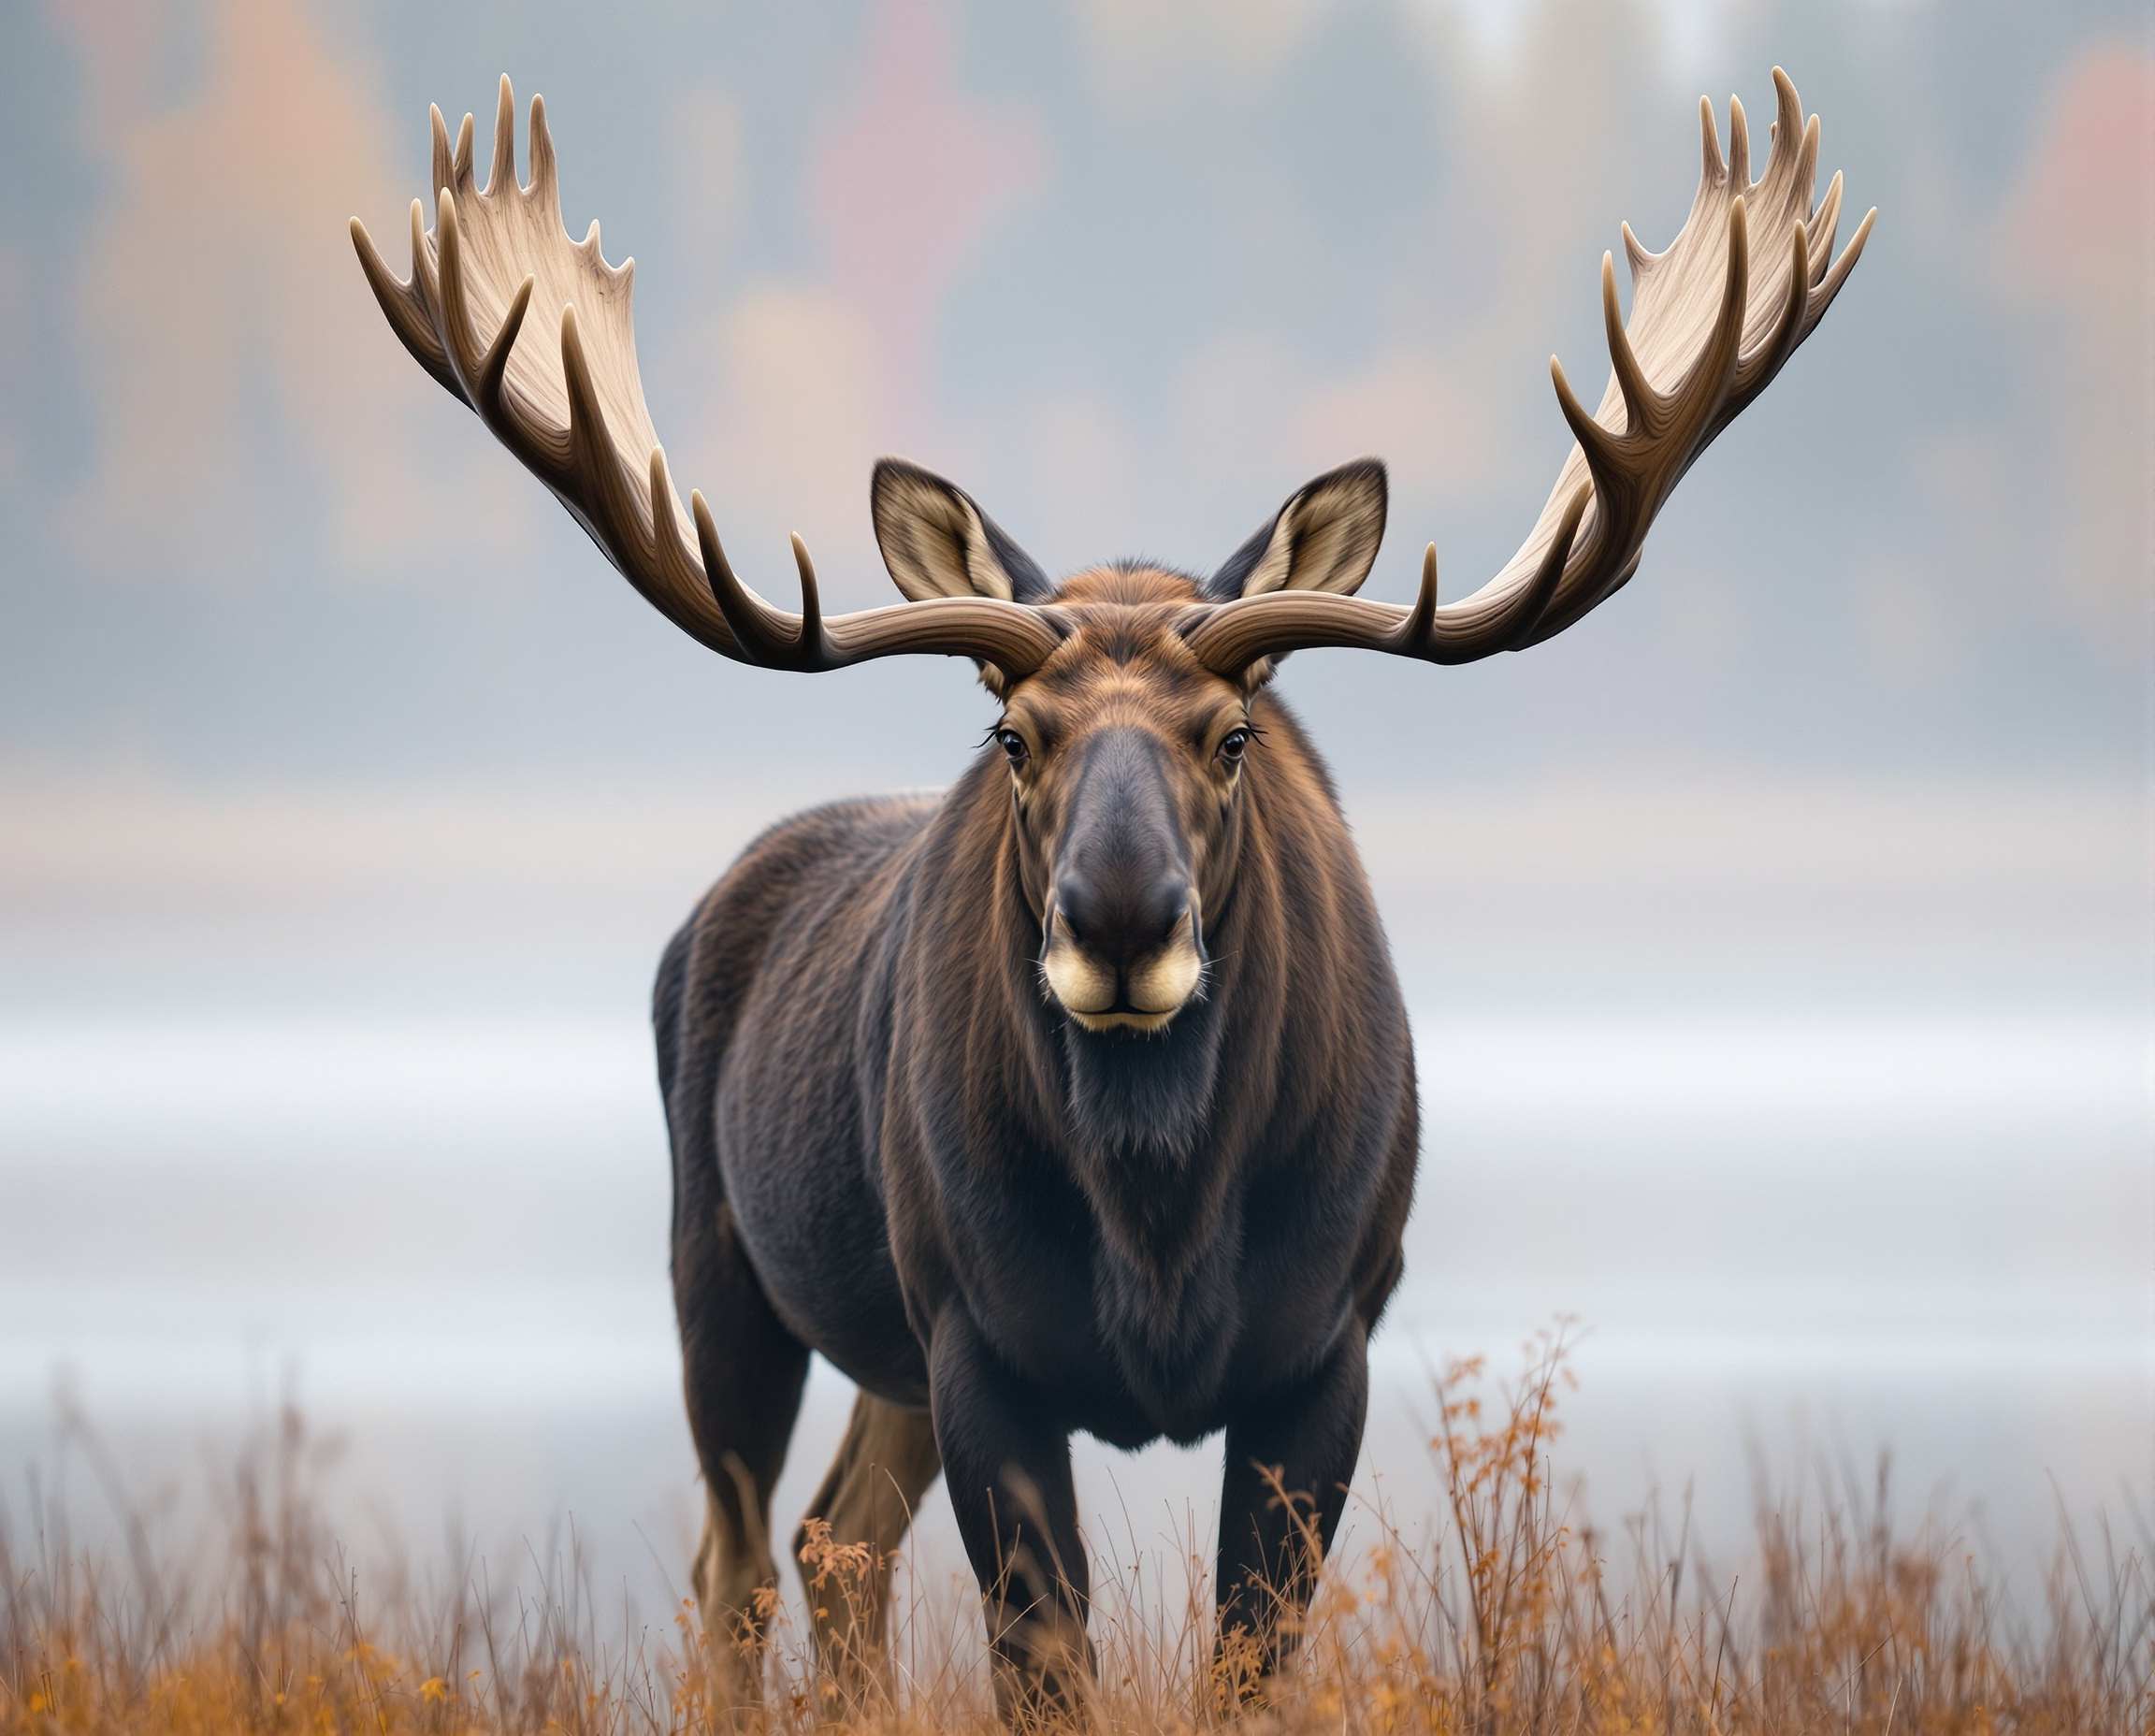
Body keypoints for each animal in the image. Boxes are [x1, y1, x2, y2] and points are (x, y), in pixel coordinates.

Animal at [353, 67, 1870, 1721]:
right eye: (1015, 734)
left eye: (1235, 733)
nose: (1123, 925)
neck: (1162, 1228)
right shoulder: (978, 1348)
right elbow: (1046, 1668)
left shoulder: (1327, 1345)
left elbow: (1244, 1667)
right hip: (728, 1271)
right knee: (741, 1564)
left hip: (882, 1352)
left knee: (831, 1542)